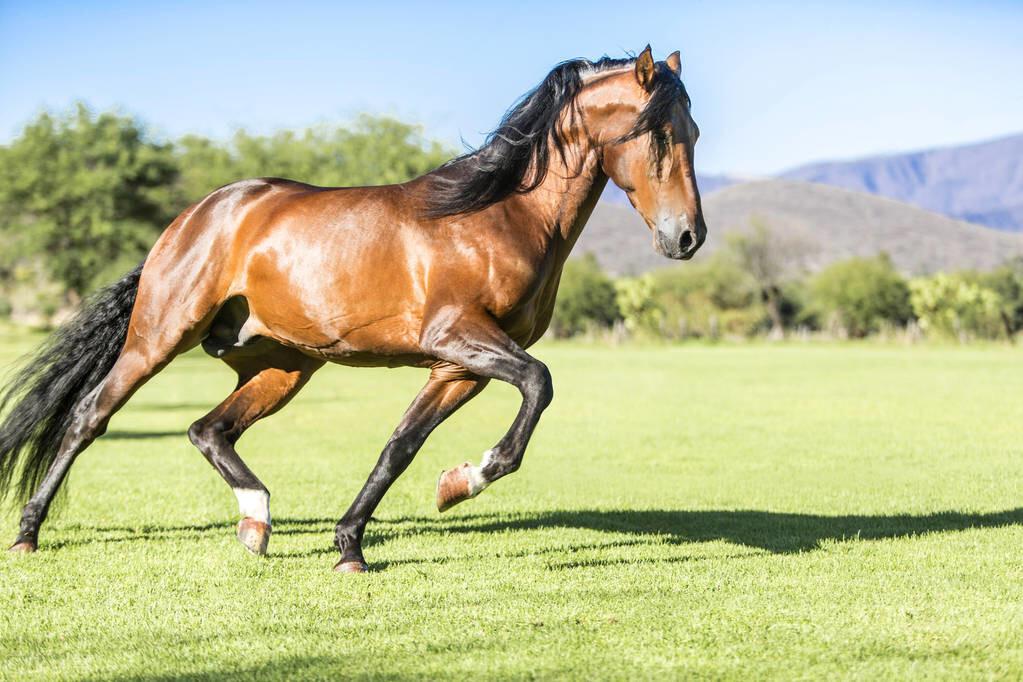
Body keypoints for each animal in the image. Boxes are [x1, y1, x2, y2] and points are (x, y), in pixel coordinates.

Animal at [0, 46, 703, 572]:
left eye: (693, 131)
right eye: (660, 132)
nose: (688, 237)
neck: (501, 213)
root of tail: (197, 216)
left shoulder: (457, 368)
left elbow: (401, 446)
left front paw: (356, 544)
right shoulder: (459, 338)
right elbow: (539, 383)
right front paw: (467, 478)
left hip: (284, 366)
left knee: (209, 430)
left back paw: (256, 522)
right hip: (158, 338)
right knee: (89, 416)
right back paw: (29, 533)